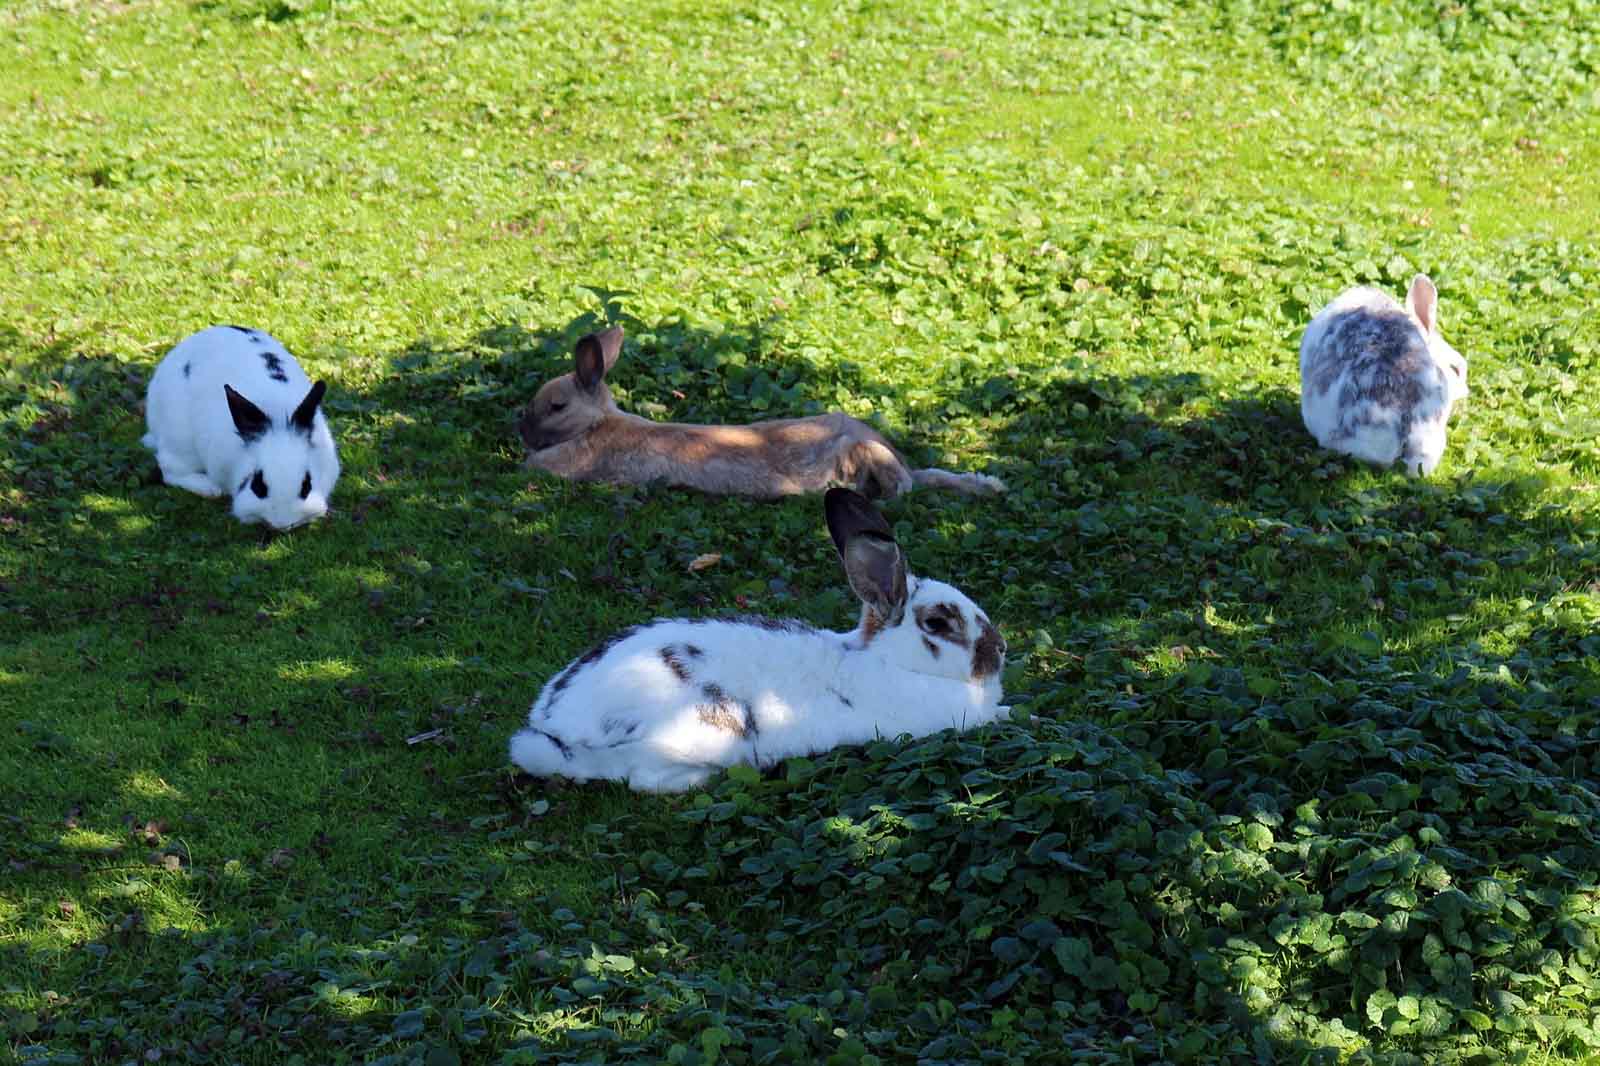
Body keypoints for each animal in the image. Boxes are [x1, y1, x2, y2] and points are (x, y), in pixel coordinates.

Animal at [141, 321, 340, 524]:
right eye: (257, 484)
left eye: (307, 484)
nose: (282, 523)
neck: (277, 413)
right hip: (180, 442)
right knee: (170, 471)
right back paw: (209, 488)